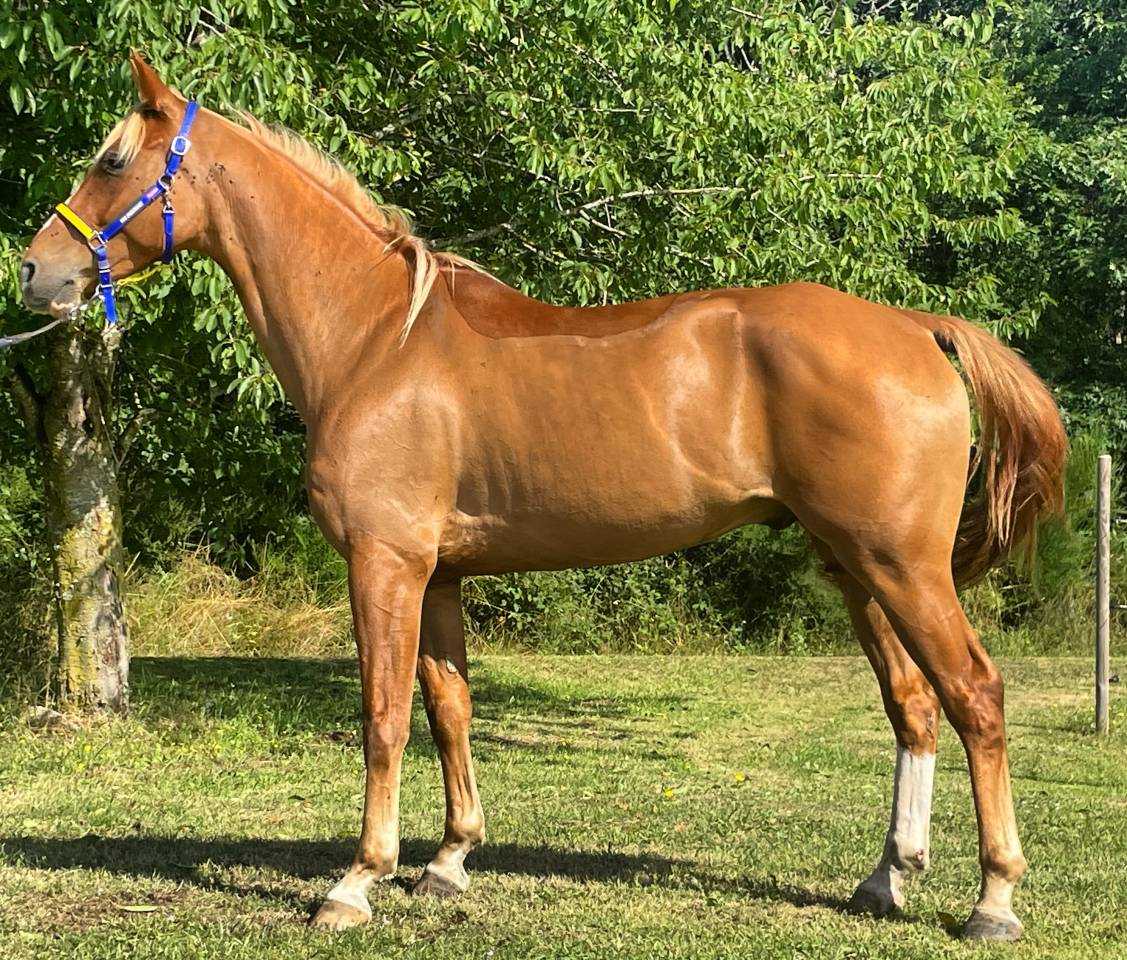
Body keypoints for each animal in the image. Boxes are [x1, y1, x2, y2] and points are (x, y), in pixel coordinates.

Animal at [20, 55, 1066, 941]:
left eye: (112, 159)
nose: (36, 271)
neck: (375, 341)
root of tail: (915, 326)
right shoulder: (437, 574)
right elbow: (448, 707)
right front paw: (446, 862)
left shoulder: (384, 564)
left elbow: (382, 716)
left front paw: (356, 881)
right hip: (852, 566)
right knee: (911, 706)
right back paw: (886, 878)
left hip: (900, 565)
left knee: (973, 695)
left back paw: (992, 900)